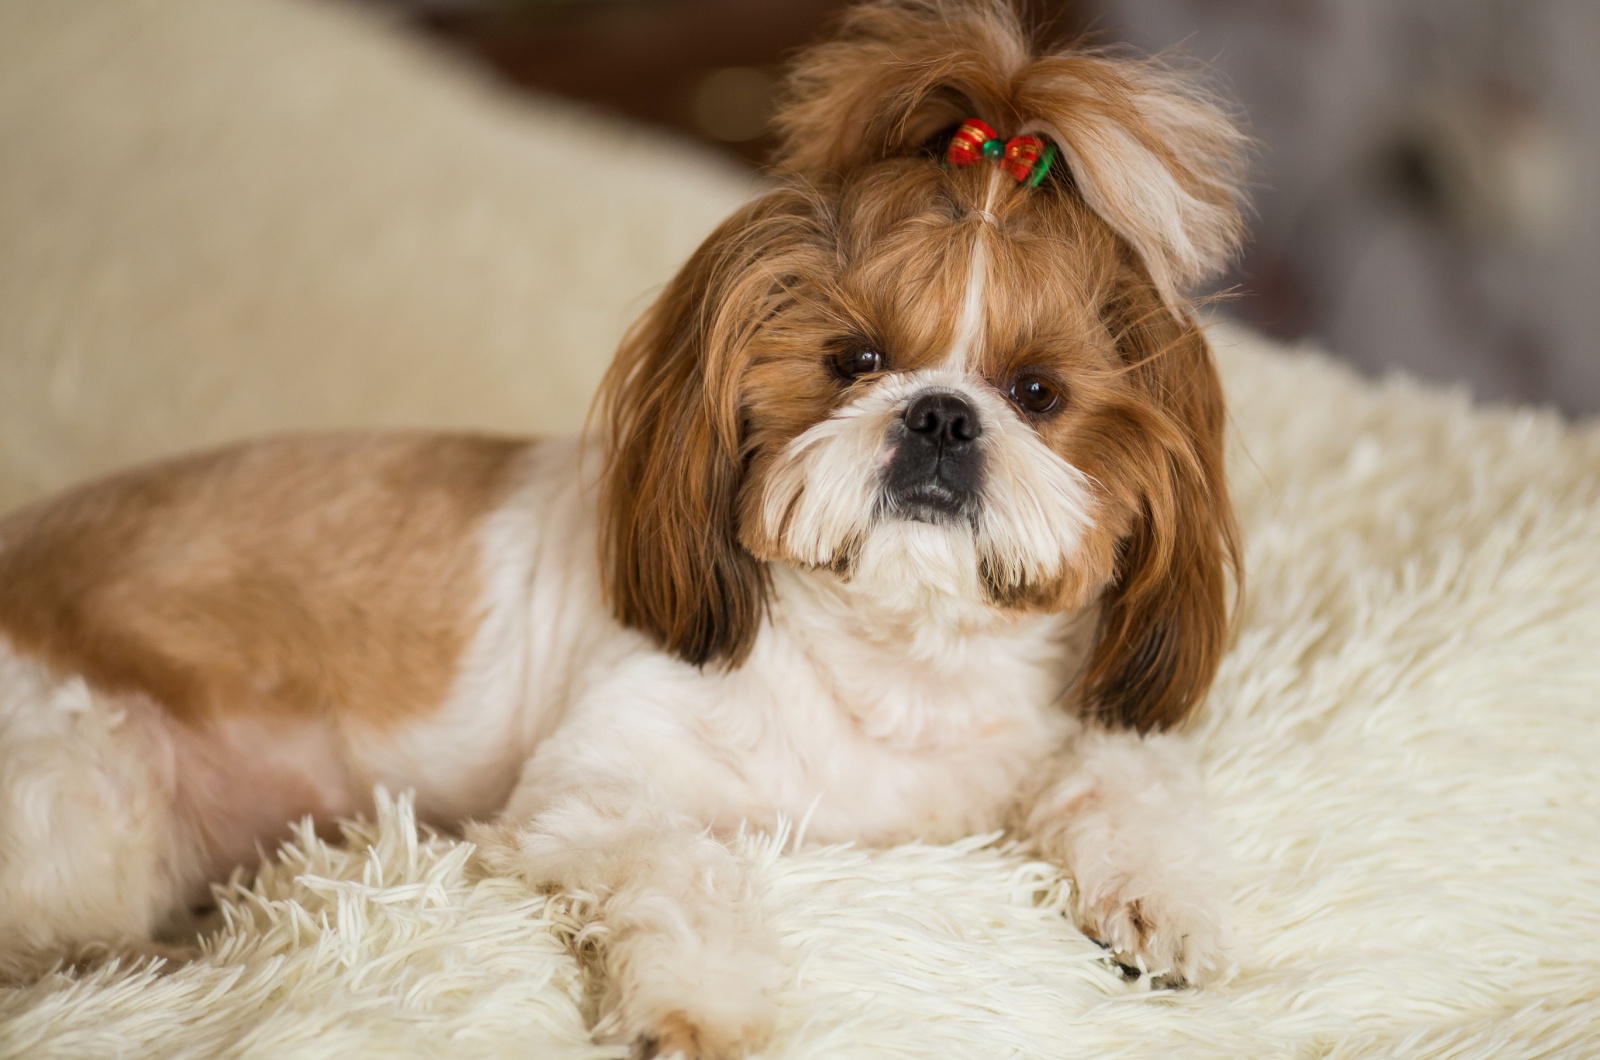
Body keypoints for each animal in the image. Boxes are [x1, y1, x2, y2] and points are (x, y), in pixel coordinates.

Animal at [0, 0, 1241, 1056]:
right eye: (853, 359)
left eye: (1036, 392)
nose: (939, 413)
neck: (890, 662)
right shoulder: (588, 792)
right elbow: (683, 864)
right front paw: (703, 1004)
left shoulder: (1051, 729)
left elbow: (1120, 771)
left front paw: (1164, 898)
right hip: (91, 786)